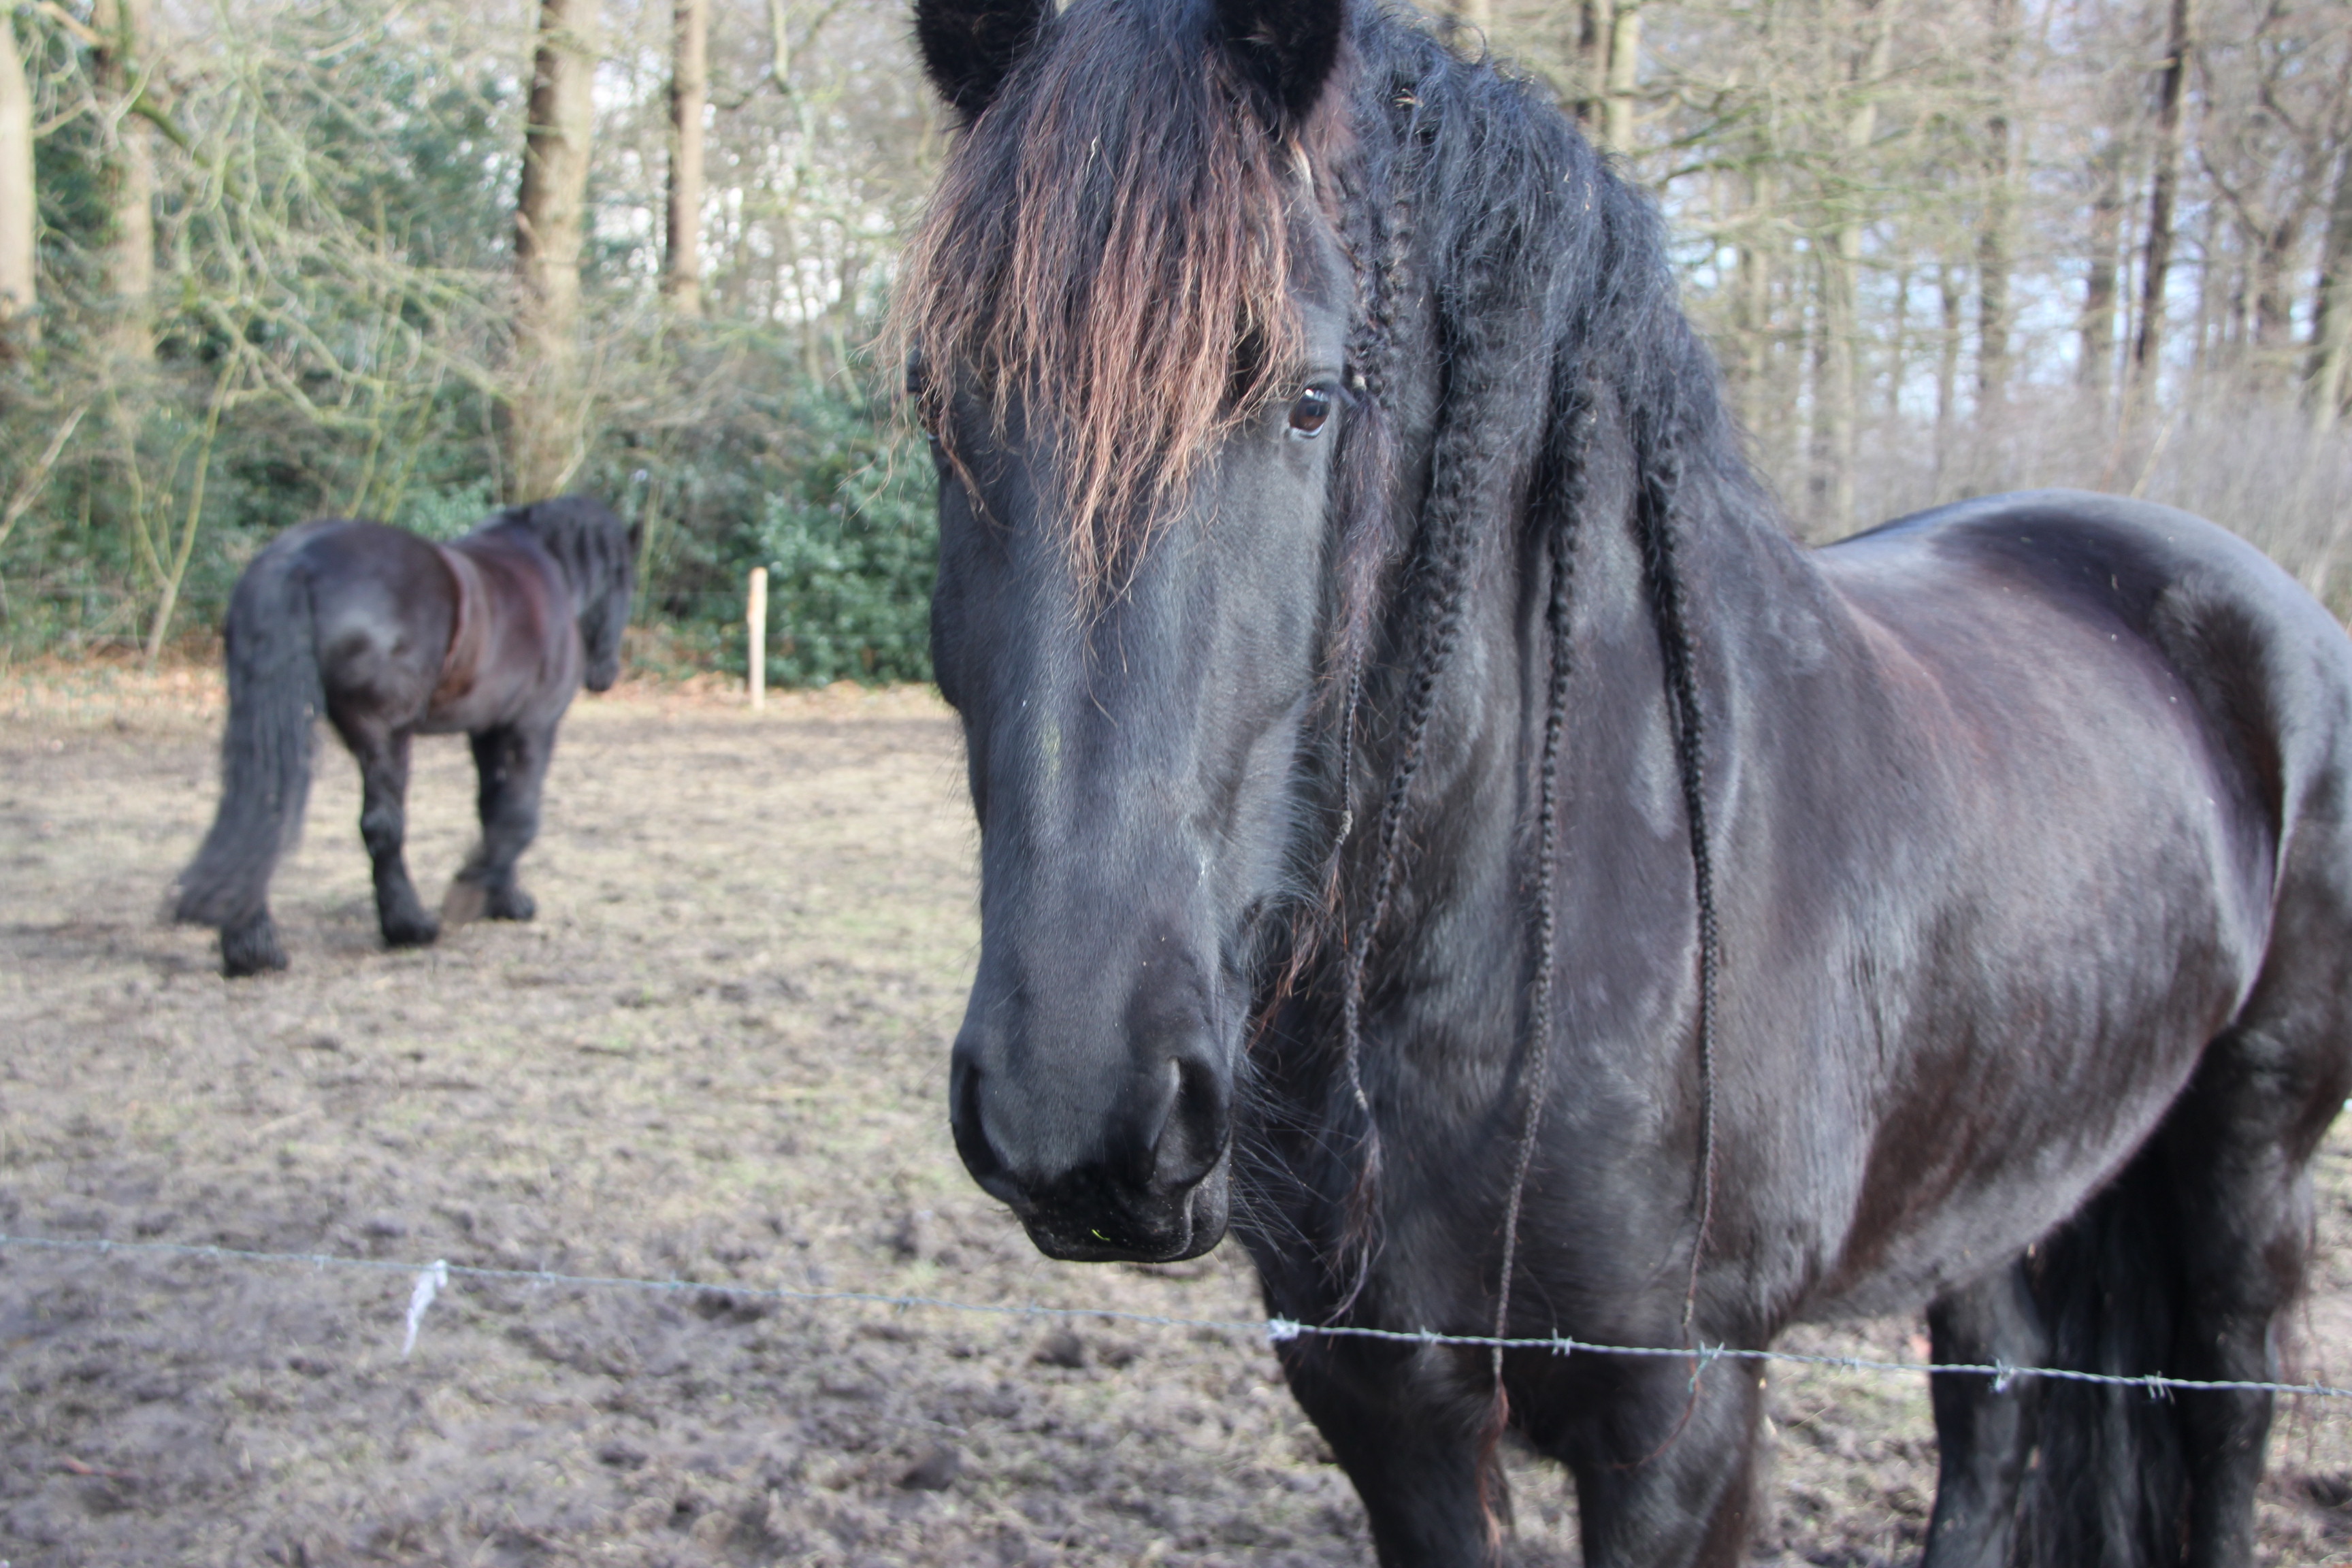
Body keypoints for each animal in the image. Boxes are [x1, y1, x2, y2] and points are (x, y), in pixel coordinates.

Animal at [173, 495, 637, 978]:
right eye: (626, 580)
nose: (605, 674)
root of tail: (296, 557)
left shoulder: (487, 730)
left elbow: (492, 810)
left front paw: (503, 897)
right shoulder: (532, 725)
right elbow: (518, 815)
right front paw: (475, 893)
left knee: (262, 817)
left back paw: (252, 947)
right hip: (385, 736)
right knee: (381, 826)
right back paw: (409, 925)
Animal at [894, 0, 2352, 1561]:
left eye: (1310, 398)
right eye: (934, 402)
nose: (1075, 1108)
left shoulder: (1679, 1417)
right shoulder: (1379, 1398)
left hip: (2248, 1151)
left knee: (2225, 1407)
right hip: (2006, 1158)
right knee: (2001, 1393)